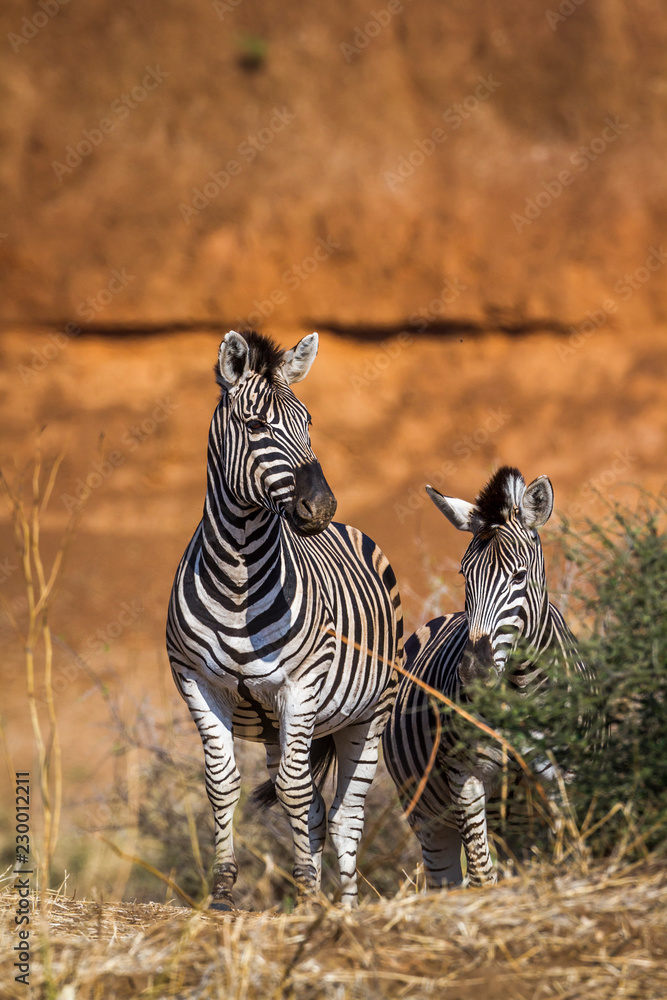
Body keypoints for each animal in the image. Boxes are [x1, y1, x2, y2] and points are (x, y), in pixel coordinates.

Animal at [167, 329, 402, 909]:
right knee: (314, 804)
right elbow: (222, 782)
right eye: (255, 426)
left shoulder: (300, 684)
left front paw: (311, 896)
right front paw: (224, 893)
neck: (237, 577)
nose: (320, 507)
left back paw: (342, 906)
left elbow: (296, 794)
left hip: (368, 714)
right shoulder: (197, 681)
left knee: (344, 815)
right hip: (280, 724)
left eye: (308, 421)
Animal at [383, 465, 592, 888]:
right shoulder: (465, 777)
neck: (520, 690)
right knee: (445, 877)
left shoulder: (565, 774)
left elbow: (571, 851)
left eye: (519, 576)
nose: (473, 673)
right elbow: (481, 874)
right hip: (426, 815)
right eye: (465, 575)